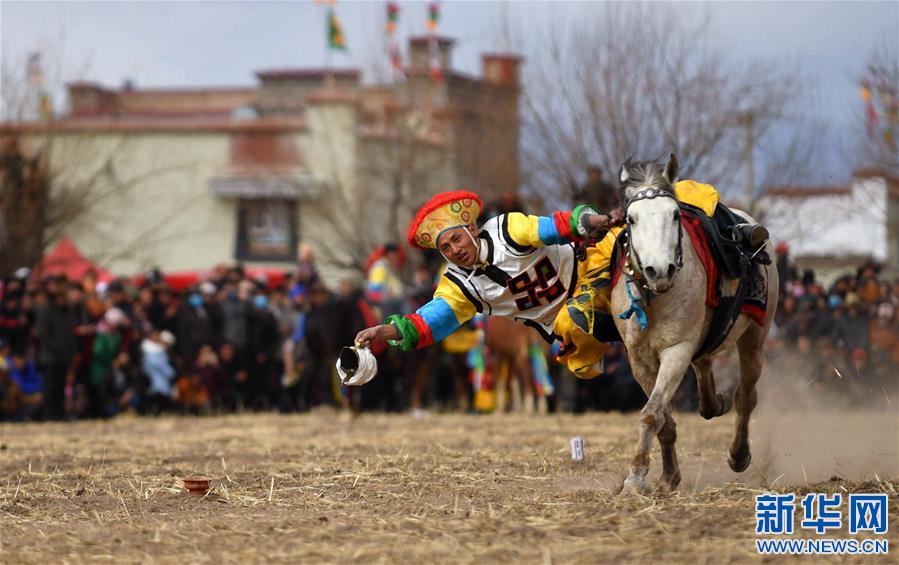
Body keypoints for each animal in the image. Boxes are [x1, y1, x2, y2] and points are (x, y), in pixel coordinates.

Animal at [612, 154, 780, 494]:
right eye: (631, 219)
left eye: (675, 215)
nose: (659, 270)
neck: (655, 296)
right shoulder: (638, 360)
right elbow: (663, 420)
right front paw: (667, 476)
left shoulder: (676, 351)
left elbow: (651, 415)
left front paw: (635, 476)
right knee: (705, 370)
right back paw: (715, 402)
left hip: (756, 337)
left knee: (746, 397)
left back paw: (739, 453)